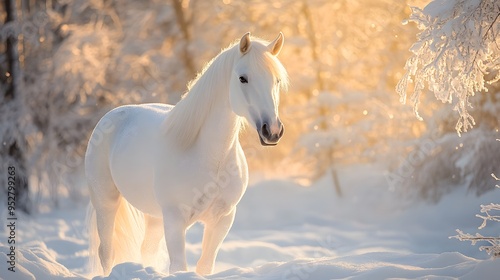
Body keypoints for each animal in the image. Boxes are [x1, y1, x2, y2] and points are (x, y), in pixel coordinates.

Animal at [85, 31, 290, 274]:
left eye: (277, 80)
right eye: (243, 78)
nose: (273, 131)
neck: (209, 157)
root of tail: (110, 117)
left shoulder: (222, 219)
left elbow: (205, 265)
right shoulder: (175, 220)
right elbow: (179, 266)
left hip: (155, 217)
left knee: (147, 250)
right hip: (106, 202)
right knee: (107, 252)